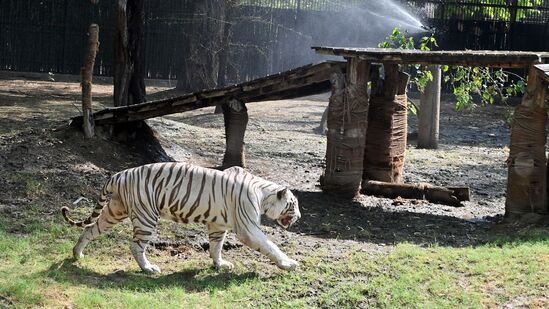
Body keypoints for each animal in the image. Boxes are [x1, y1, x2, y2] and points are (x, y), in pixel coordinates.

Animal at [61, 162, 300, 270]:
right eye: (293, 204)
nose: (298, 216)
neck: (263, 193)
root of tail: (119, 174)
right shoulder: (248, 228)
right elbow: (270, 246)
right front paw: (288, 263)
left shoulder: (218, 226)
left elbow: (216, 247)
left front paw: (220, 264)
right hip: (146, 217)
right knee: (136, 246)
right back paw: (148, 268)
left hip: (114, 210)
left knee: (90, 228)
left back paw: (77, 253)